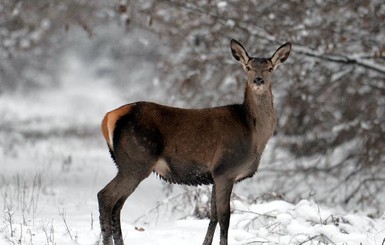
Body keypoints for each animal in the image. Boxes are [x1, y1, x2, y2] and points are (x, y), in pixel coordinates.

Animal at [97, 39, 290, 244]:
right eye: (248, 67)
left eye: (269, 68)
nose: (258, 80)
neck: (255, 136)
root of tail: (108, 118)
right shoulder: (225, 169)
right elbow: (225, 217)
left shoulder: (215, 174)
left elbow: (213, 215)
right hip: (136, 160)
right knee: (106, 197)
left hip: (129, 164)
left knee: (117, 204)